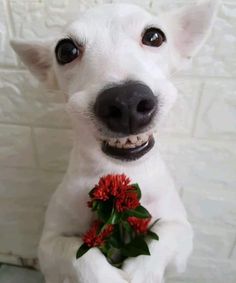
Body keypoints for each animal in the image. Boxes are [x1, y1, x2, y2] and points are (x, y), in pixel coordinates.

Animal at [10, 1, 218, 282]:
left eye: (154, 36)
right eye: (66, 50)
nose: (126, 101)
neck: (119, 172)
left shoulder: (181, 234)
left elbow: (164, 238)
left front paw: (142, 273)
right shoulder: (49, 246)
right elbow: (76, 251)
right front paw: (107, 276)